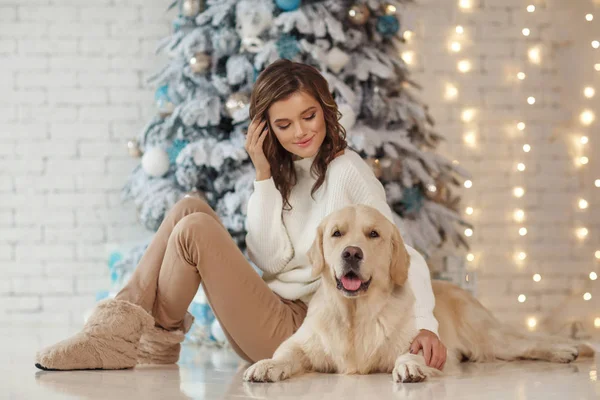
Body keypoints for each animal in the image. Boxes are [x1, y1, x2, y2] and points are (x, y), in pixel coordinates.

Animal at [244, 205, 596, 382]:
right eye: (336, 233)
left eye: (373, 234)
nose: (352, 253)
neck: (356, 316)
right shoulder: (301, 344)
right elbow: (285, 355)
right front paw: (265, 366)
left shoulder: (419, 341)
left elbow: (412, 351)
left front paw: (410, 367)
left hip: (490, 337)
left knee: (529, 342)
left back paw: (566, 350)